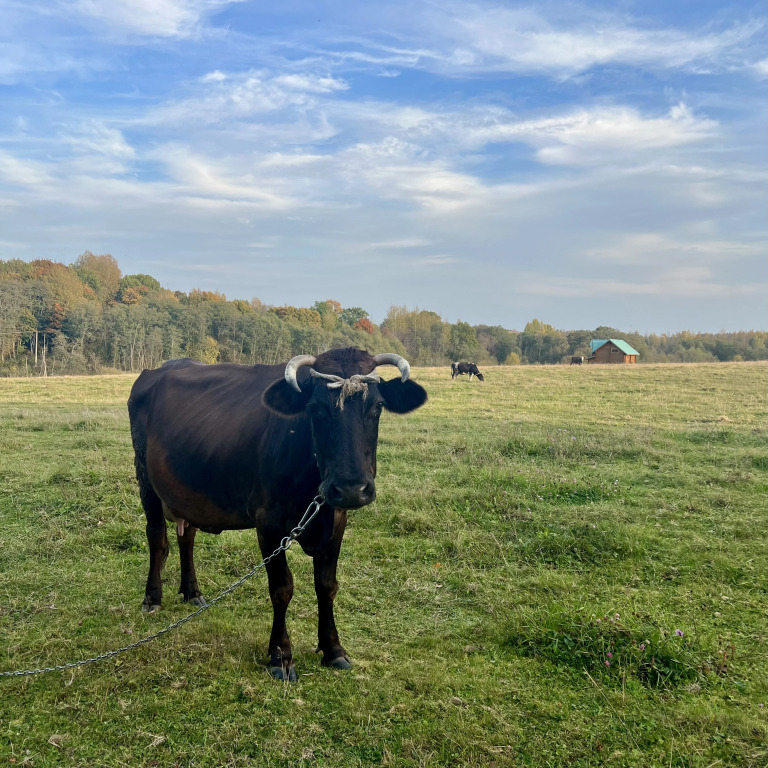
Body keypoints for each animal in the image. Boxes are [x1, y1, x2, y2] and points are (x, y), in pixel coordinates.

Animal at [127, 346, 426, 680]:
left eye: (377, 406)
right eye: (315, 408)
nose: (350, 488)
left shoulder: (336, 520)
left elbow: (327, 585)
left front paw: (333, 649)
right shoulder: (267, 524)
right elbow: (282, 588)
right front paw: (281, 656)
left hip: (188, 491)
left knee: (186, 536)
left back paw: (192, 592)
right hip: (146, 481)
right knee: (157, 538)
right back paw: (152, 598)